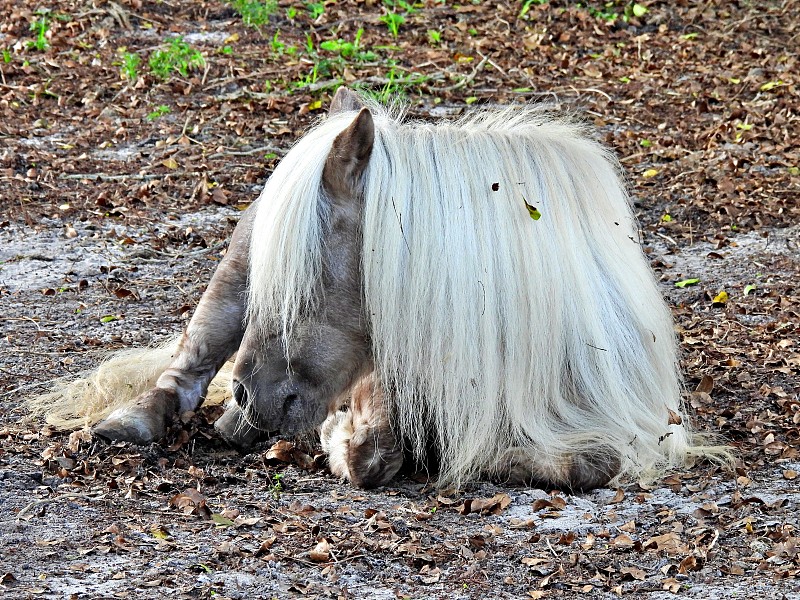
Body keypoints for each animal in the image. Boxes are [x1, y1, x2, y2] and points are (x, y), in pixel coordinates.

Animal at [28, 90, 720, 492]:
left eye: (307, 272)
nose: (252, 395)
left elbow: (585, 464)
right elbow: (370, 456)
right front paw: (342, 438)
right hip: (224, 297)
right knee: (188, 366)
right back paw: (136, 422)